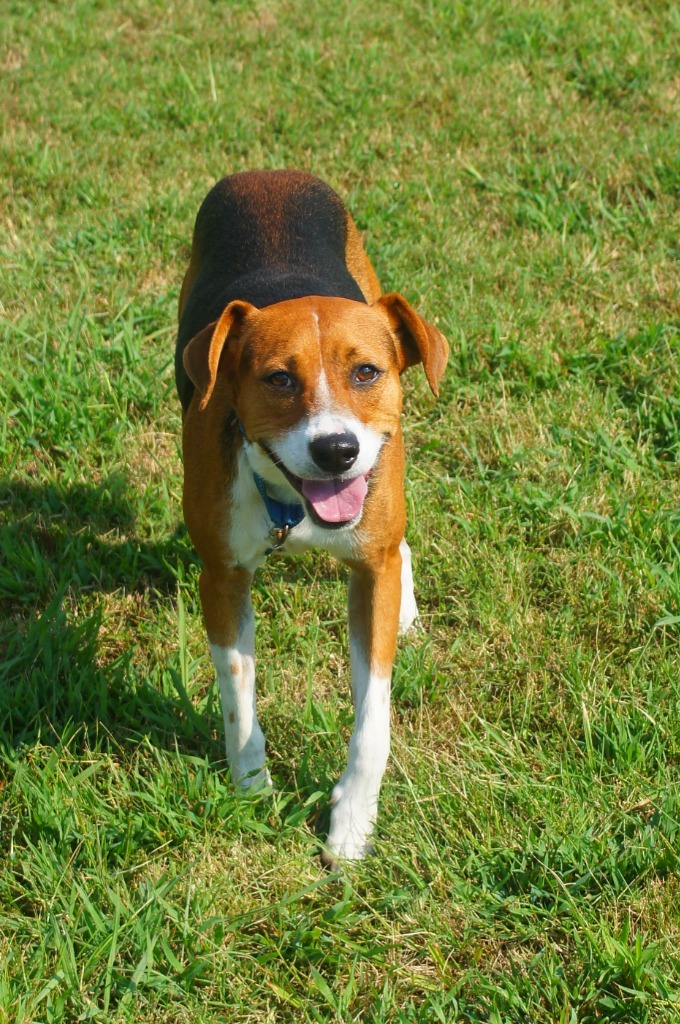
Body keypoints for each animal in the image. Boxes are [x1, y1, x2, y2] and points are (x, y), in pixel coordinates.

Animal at [175, 169, 446, 864]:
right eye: (277, 379)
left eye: (367, 371)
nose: (336, 450)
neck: (293, 503)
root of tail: (268, 173)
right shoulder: (222, 576)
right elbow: (237, 693)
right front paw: (251, 787)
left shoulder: (369, 570)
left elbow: (374, 716)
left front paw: (351, 823)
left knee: (400, 542)